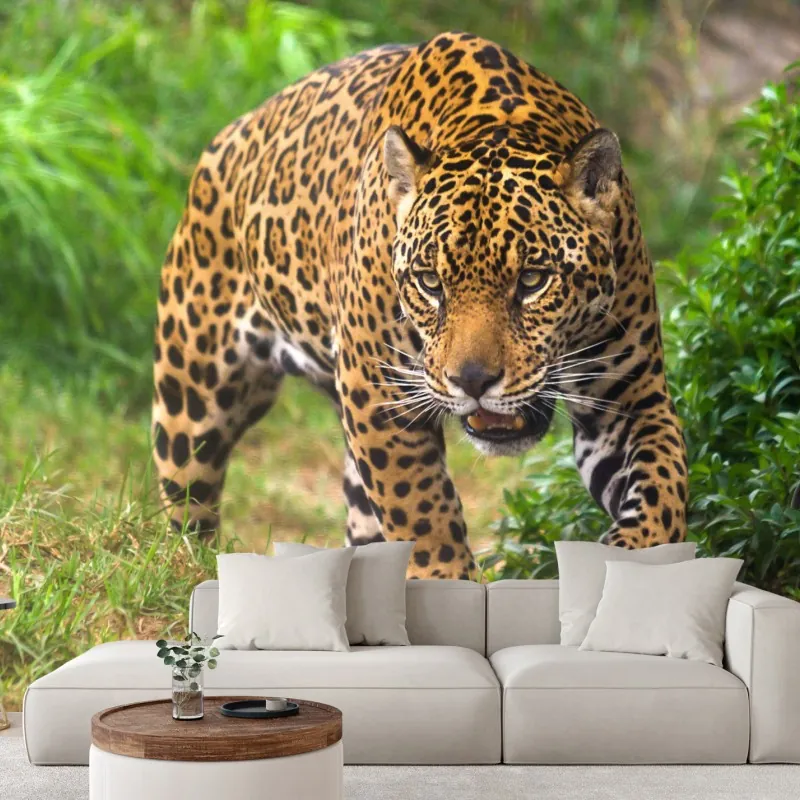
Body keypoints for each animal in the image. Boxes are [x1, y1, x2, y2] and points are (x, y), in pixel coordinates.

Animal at [152, 31, 689, 579]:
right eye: (431, 282)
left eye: (532, 280)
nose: (473, 381)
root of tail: (231, 134)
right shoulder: (379, 395)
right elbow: (422, 510)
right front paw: (448, 578)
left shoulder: (629, 396)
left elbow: (663, 486)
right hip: (193, 398)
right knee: (187, 505)